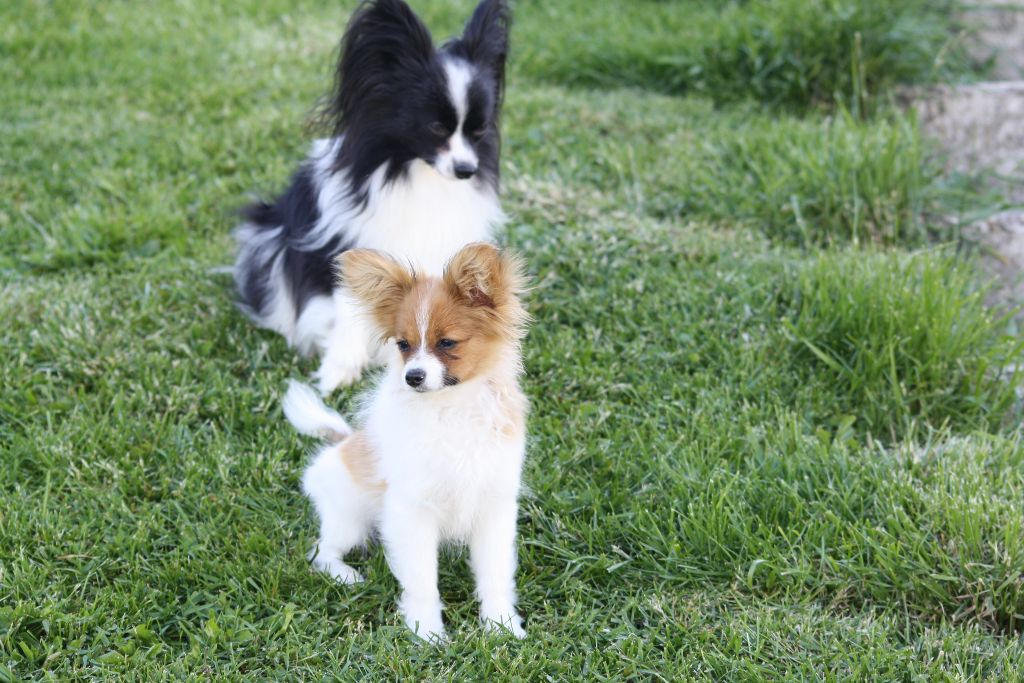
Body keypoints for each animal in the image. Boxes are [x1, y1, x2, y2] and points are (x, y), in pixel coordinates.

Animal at [237, 1, 512, 395]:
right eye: (436, 128)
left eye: (479, 130)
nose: (467, 169)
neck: (417, 172)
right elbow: (350, 311)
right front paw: (339, 370)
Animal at [284, 241, 532, 643]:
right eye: (403, 345)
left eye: (447, 343)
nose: (412, 376)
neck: (451, 408)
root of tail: (342, 444)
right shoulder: (412, 512)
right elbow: (422, 581)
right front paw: (427, 634)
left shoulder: (493, 507)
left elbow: (494, 576)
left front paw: (502, 626)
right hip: (350, 520)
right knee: (321, 550)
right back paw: (346, 575)